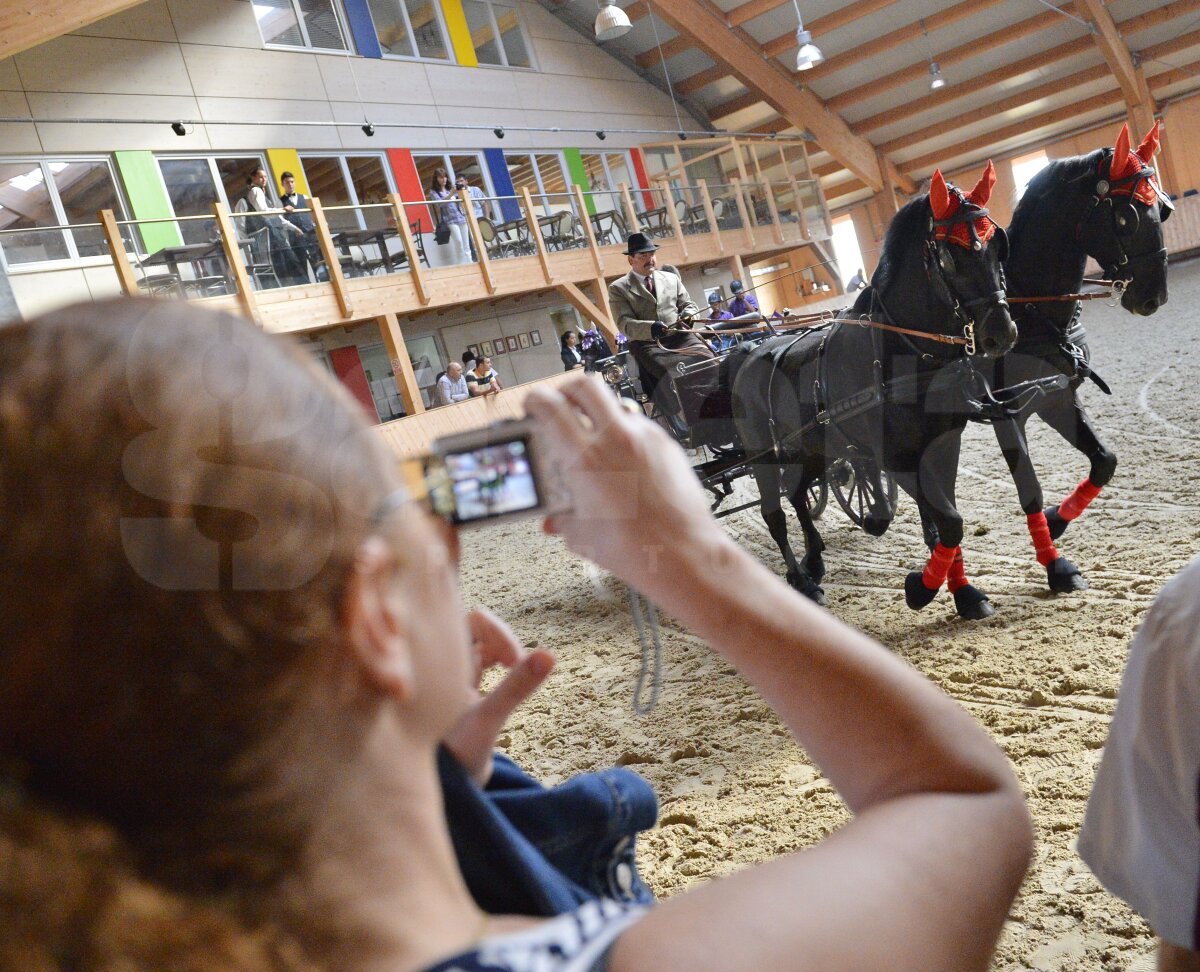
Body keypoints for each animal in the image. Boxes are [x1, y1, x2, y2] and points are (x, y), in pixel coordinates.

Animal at [724, 163, 1017, 619]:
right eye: (951, 255)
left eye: (995, 247)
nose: (1000, 332)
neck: (903, 350)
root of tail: (748, 352)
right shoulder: (894, 459)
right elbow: (948, 521)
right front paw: (923, 589)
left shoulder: (942, 445)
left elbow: (948, 521)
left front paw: (963, 592)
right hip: (764, 457)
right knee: (775, 514)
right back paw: (802, 581)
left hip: (809, 449)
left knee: (798, 495)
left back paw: (815, 559)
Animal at [979, 121, 1166, 590]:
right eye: (1127, 217)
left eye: (1163, 210)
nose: (1154, 297)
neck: (1027, 309)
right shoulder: (1006, 414)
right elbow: (1029, 489)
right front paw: (1056, 567)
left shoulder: (1057, 398)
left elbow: (1105, 462)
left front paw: (1056, 521)